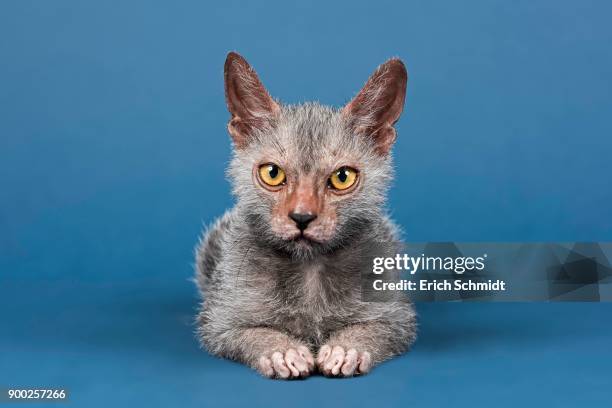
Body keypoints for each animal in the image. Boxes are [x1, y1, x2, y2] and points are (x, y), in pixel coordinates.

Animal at [196, 51, 416, 380]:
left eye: (342, 177)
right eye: (272, 173)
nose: (302, 217)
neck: (309, 267)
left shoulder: (397, 317)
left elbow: (374, 329)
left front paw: (345, 348)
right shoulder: (219, 320)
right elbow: (249, 332)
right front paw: (281, 350)